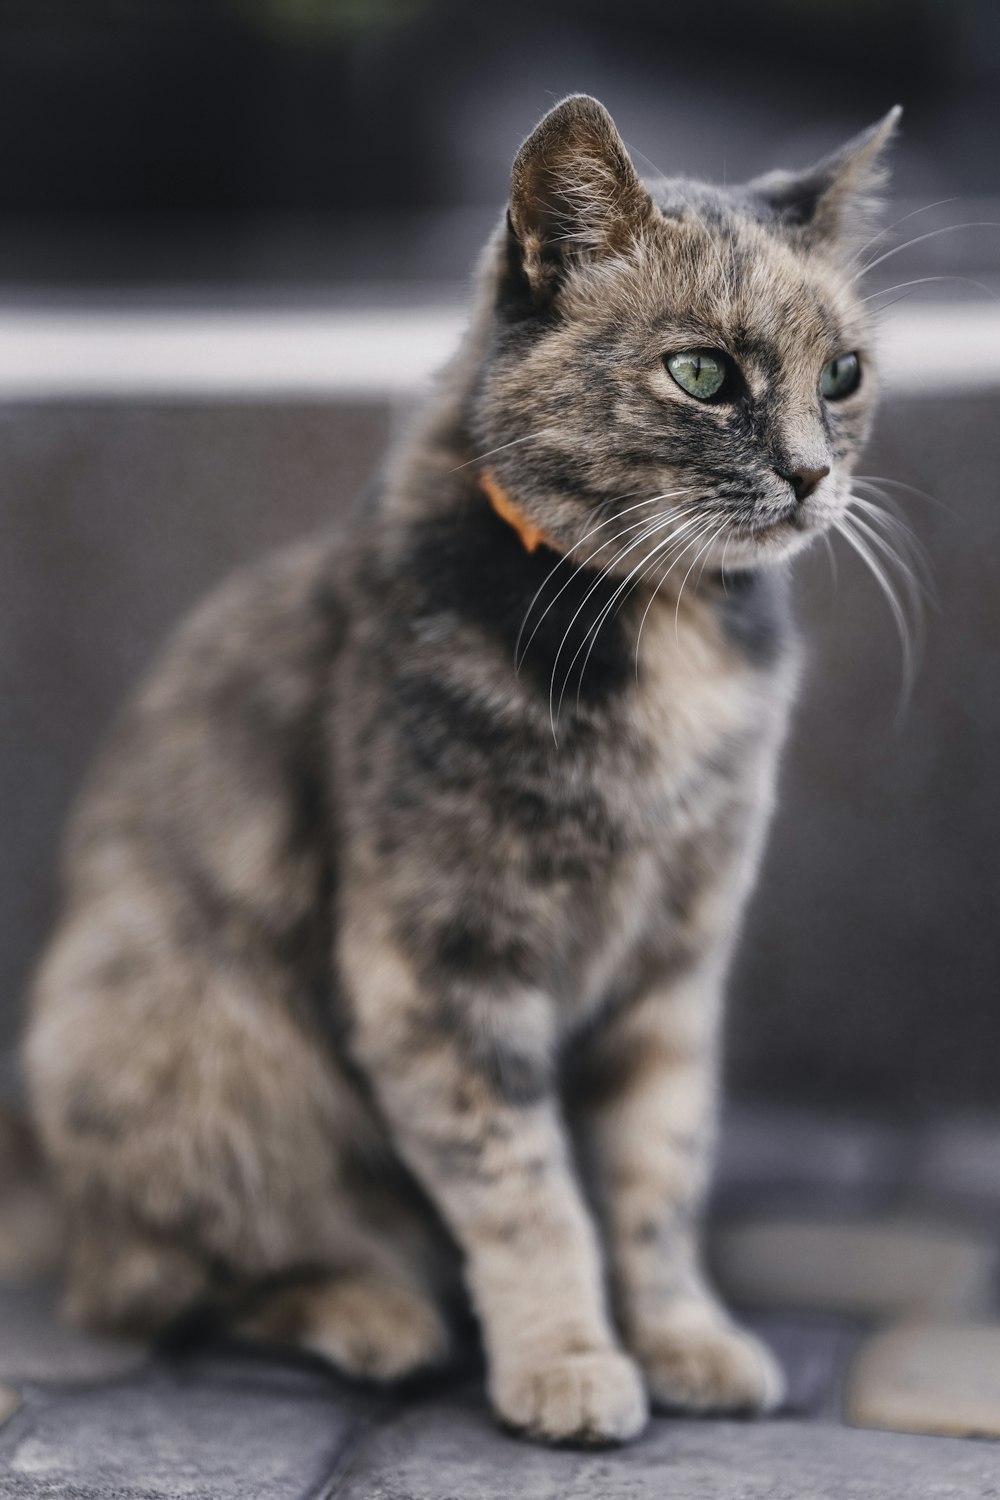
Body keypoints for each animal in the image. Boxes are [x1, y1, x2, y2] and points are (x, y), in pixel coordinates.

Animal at [23, 90, 899, 1440]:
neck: (665, 630)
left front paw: (683, 1338)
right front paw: (568, 1363)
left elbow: (656, 1180)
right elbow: (524, 1189)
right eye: (702, 372)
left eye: (842, 374)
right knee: (184, 1273)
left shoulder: (672, 973)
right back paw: (374, 1315)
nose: (812, 473)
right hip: (176, 1036)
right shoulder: (436, 969)